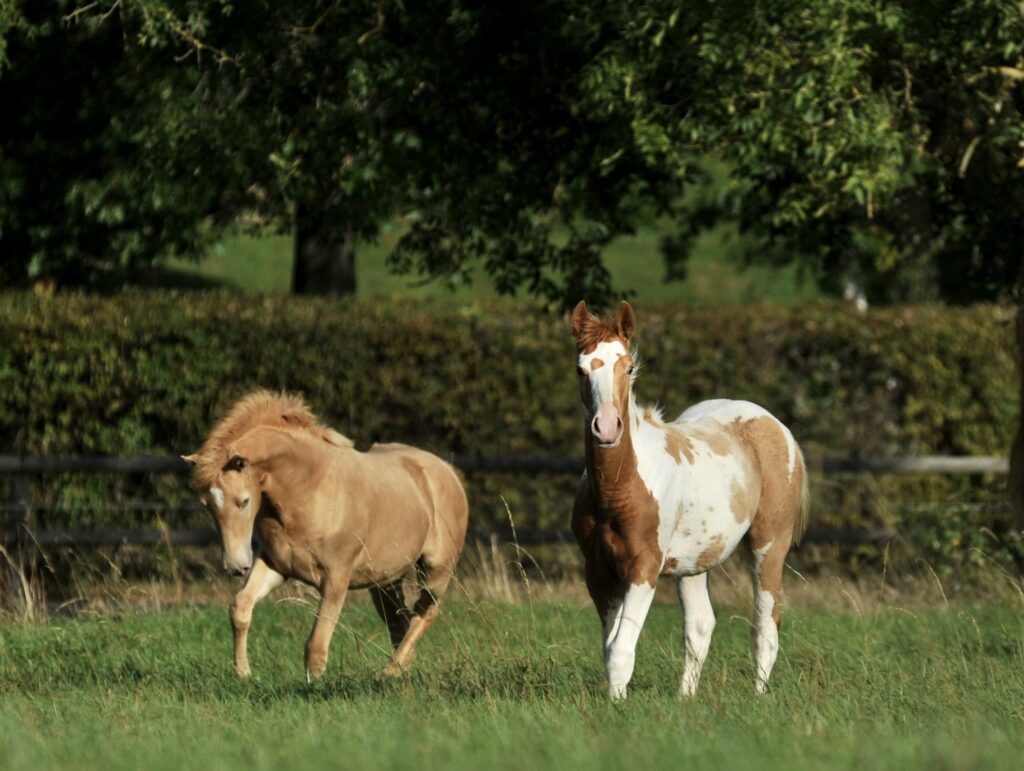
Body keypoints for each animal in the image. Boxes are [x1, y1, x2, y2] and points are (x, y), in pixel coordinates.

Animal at [184, 391, 468, 679]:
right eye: (207, 504)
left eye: (243, 501)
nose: (235, 566)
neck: (308, 488)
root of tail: (449, 472)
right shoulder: (275, 566)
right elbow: (240, 608)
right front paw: (243, 673)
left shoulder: (336, 580)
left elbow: (316, 645)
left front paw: (315, 685)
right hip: (385, 581)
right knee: (399, 620)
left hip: (436, 571)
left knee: (426, 611)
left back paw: (388, 671)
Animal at [569, 301, 806, 696]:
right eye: (581, 369)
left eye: (628, 367)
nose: (606, 427)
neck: (618, 492)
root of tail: (775, 425)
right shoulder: (598, 571)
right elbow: (609, 647)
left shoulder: (645, 568)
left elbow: (621, 651)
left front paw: (616, 705)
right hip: (694, 562)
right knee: (700, 626)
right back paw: (685, 699)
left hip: (769, 545)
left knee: (765, 624)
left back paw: (758, 696)